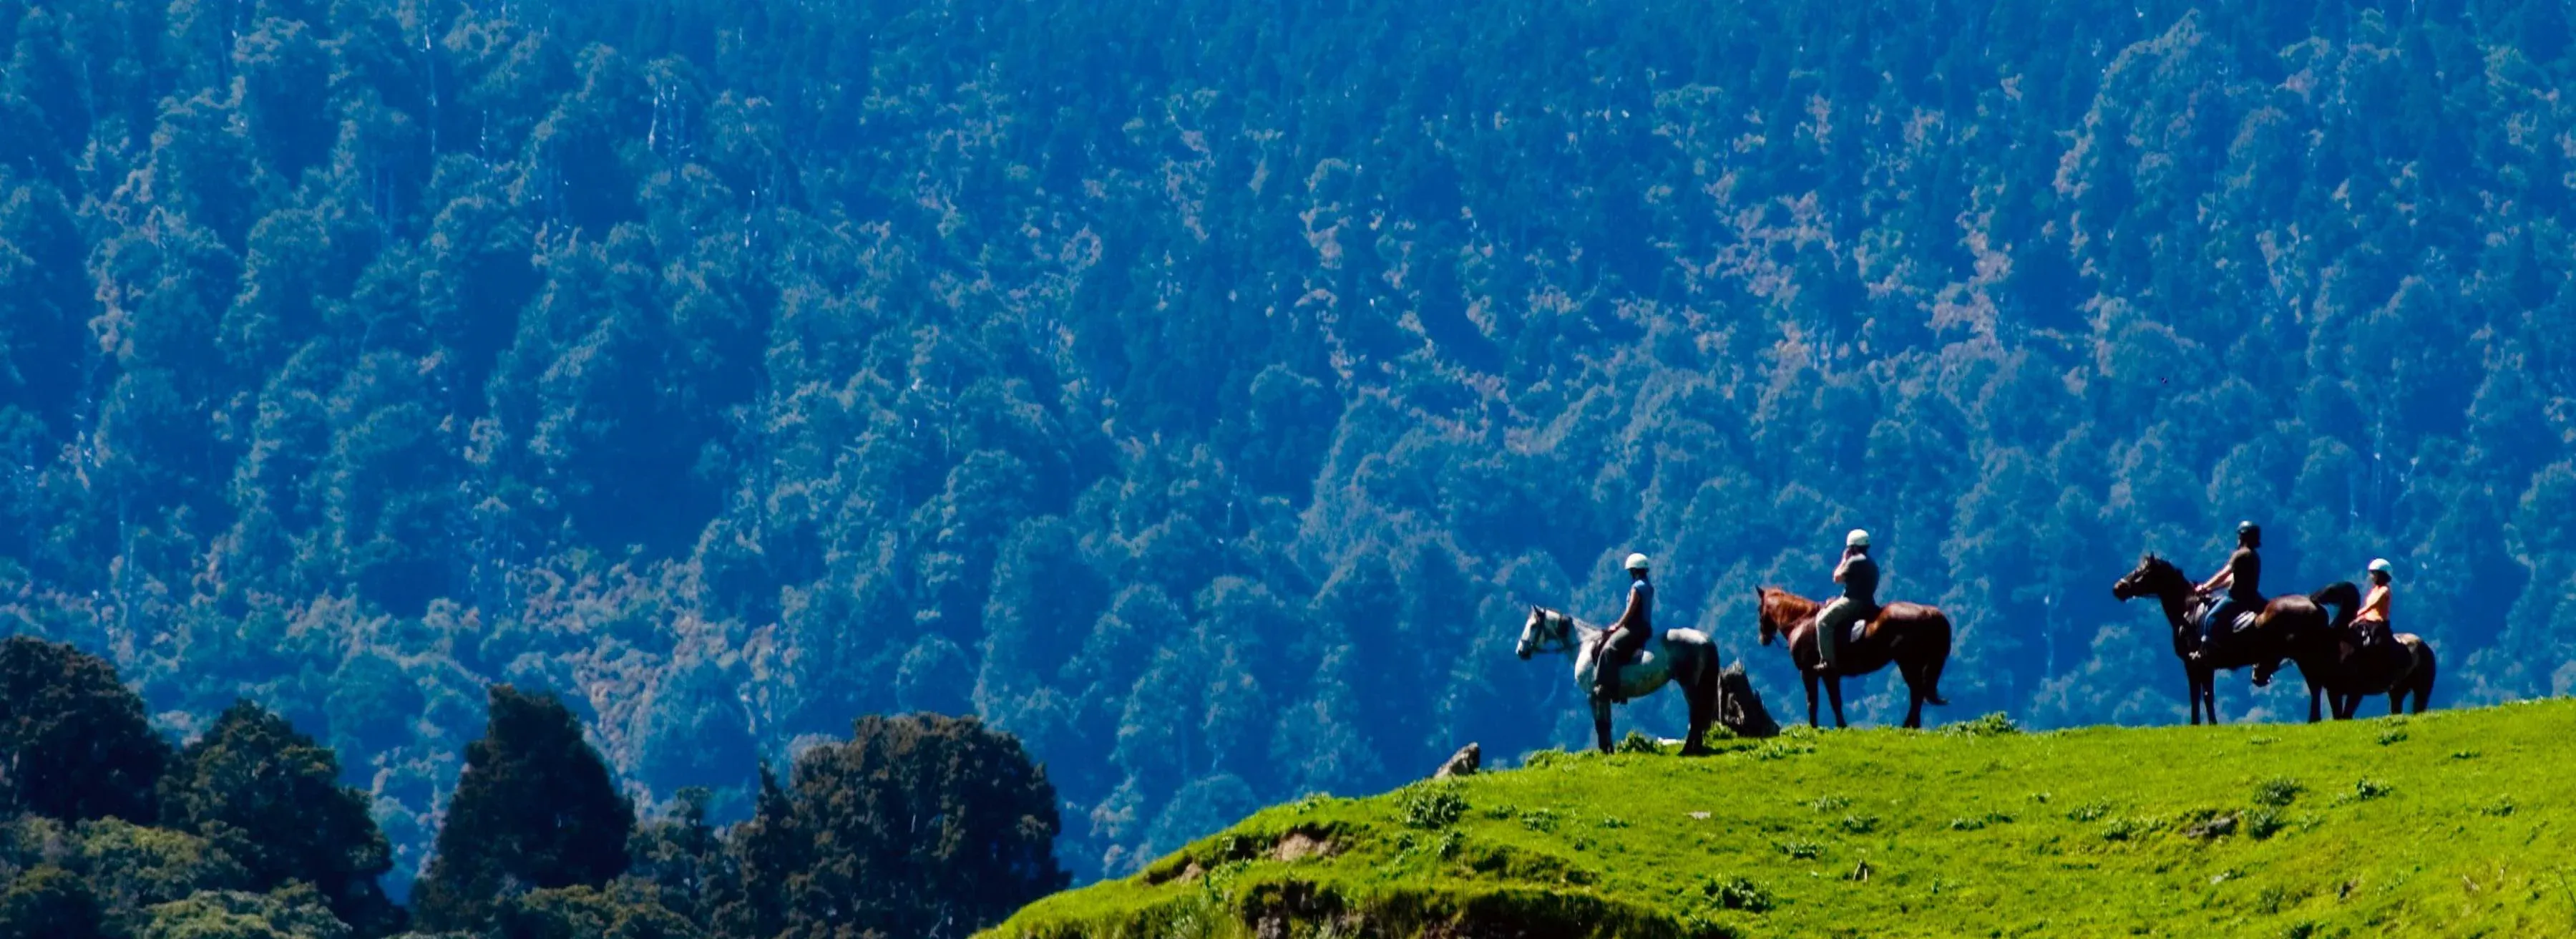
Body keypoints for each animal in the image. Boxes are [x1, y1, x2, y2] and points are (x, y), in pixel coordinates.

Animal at [1752, 588, 1947, 732]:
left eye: (1759, 609)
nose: (1763, 639)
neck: (1801, 622)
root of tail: (1928, 612)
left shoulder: (1808, 673)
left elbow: (1813, 701)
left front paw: (1815, 728)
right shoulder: (1829, 675)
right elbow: (1835, 701)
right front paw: (1842, 726)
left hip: (1907, 663)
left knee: (1917, 691)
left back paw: (1908, 725)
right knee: (1918, 692)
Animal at [2112, 557, 2359, 727]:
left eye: (2141, 572)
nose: (2118, 588)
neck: (2188, 611)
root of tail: (2313, 602)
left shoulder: (2194, 664)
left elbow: (2197, 696)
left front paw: (2196, 724)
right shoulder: (2205, 667)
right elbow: (2207, 696)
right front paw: (2211, 724)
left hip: (2304, 657)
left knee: (2316, 686)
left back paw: (2313, 719)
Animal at [2277, 580, 2431, 717]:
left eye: (2331, 590)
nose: (2312, 598)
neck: (2337, 644)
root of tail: (2425, 647)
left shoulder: (2356, 691)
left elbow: (2346, 715)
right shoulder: (2334, 690)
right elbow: (2338, 715)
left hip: (2421, 689)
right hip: (2397, 691)